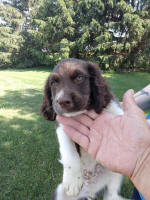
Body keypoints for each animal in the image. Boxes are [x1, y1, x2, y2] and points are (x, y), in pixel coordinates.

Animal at [40, 58, 129, 200]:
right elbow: (70, 155)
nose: (62, 101)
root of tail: (91, 189)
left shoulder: (115, 109)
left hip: (115, 174)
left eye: (79, 78)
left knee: (111, 193)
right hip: (60, 192)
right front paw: (72, 181)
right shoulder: (62, 127)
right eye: (53, 83)